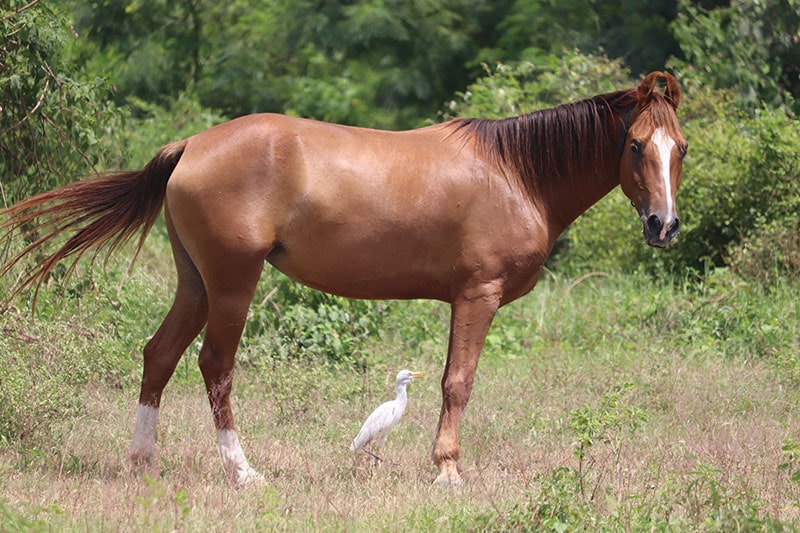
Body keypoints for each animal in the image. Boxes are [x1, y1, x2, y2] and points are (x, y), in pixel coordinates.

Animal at [0, 71, 686, 487]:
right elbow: (457, 384)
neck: (516, 174)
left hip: (194, 283)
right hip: (231, 284)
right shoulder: (477, 296)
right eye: (634, 145)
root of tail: (191, 145)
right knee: (214, 366)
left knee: (159, 355)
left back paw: (143, 462)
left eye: (678, 148)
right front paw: (447, 470)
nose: (664, 225)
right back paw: (242, 471)